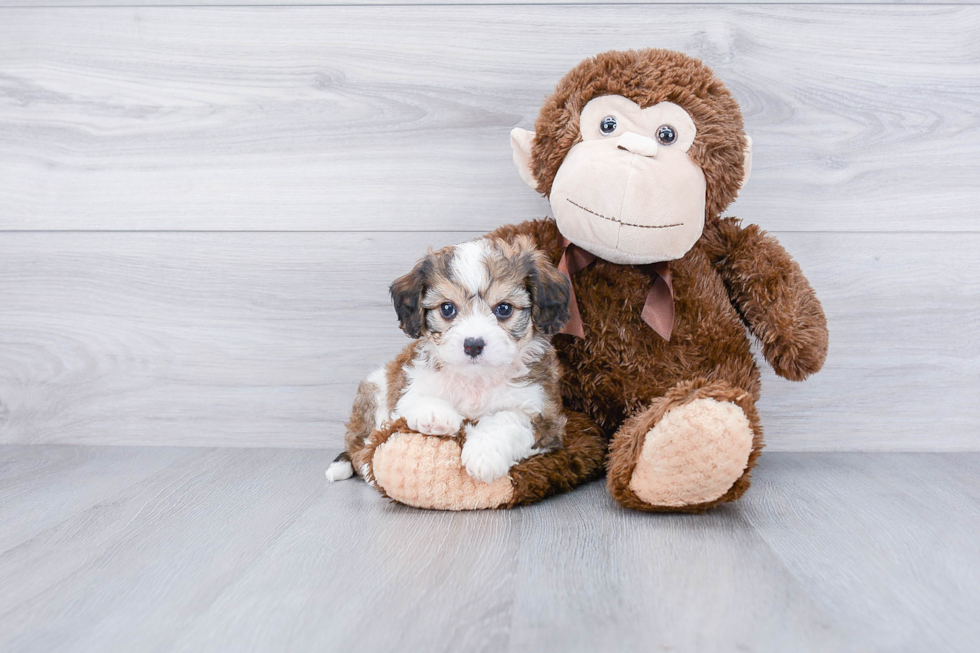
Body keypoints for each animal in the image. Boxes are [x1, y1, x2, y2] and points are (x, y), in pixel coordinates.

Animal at [330, 234, 576, 484]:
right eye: (447, 308)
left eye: (504, 309)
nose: (473, 344)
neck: (476, 378)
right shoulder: (407, 387)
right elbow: (413, 399)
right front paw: (436, 415)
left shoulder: (545, 417)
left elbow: (507, 419)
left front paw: (483, 454)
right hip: (374, 388)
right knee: (360, 446)